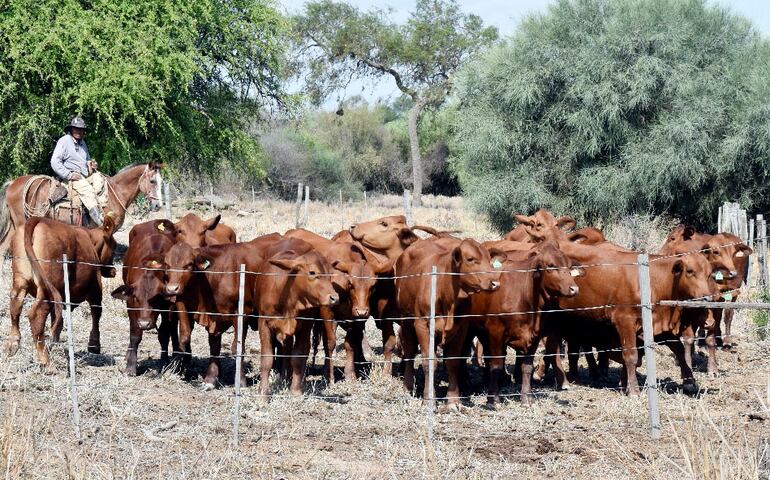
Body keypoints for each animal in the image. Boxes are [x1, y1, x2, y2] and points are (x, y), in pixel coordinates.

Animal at [6, 216, 117, 366]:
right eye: (114, 246)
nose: (113, 271)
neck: (89, 239)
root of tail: (36, 220)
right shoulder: (95, 287)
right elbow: (96, 312)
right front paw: (94, 346)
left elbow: (57, 320)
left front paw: (54, 342)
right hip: (47, 286)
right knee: (36, 315)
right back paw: (46, 362)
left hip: (21, 281)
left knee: (15, 307)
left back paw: (13, 344)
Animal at [111, 221, 177, 376]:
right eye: (136, 298)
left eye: (157, 298)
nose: (145, 323)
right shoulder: (130, 304)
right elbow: (135, 334)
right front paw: (130, 366)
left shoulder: (169, 307)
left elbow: (164, 334)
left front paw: (163, 363)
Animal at [396, 236, 504, 404]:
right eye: (470, 259)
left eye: (489, 259)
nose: (495, 283)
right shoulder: (422, 325)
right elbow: (428, 361)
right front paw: (429, 399)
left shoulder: (461, 327)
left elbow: (453, 362)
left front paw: (453, 401)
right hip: (406, 319)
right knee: (409, 352)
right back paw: (407, 387)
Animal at [456, 242, 576, 404]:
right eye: (551, 265)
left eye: (569, 266)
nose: (574, 288)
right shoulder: (496, 331)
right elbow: (496, 365)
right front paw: (493, 399)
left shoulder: (535, 335)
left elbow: (527, 367)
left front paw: (526, 397)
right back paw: (465, 384)